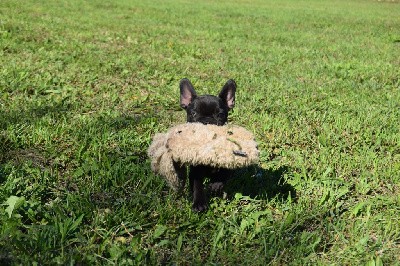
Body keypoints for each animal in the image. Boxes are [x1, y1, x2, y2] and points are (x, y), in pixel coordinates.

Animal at [180, 77, 236, 212]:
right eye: (193, 114)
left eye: (220, 115)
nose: (206, 121)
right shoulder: (195, 171)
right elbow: (197, 185)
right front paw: (199, 203)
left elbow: (223, 175)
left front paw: (215, 185)